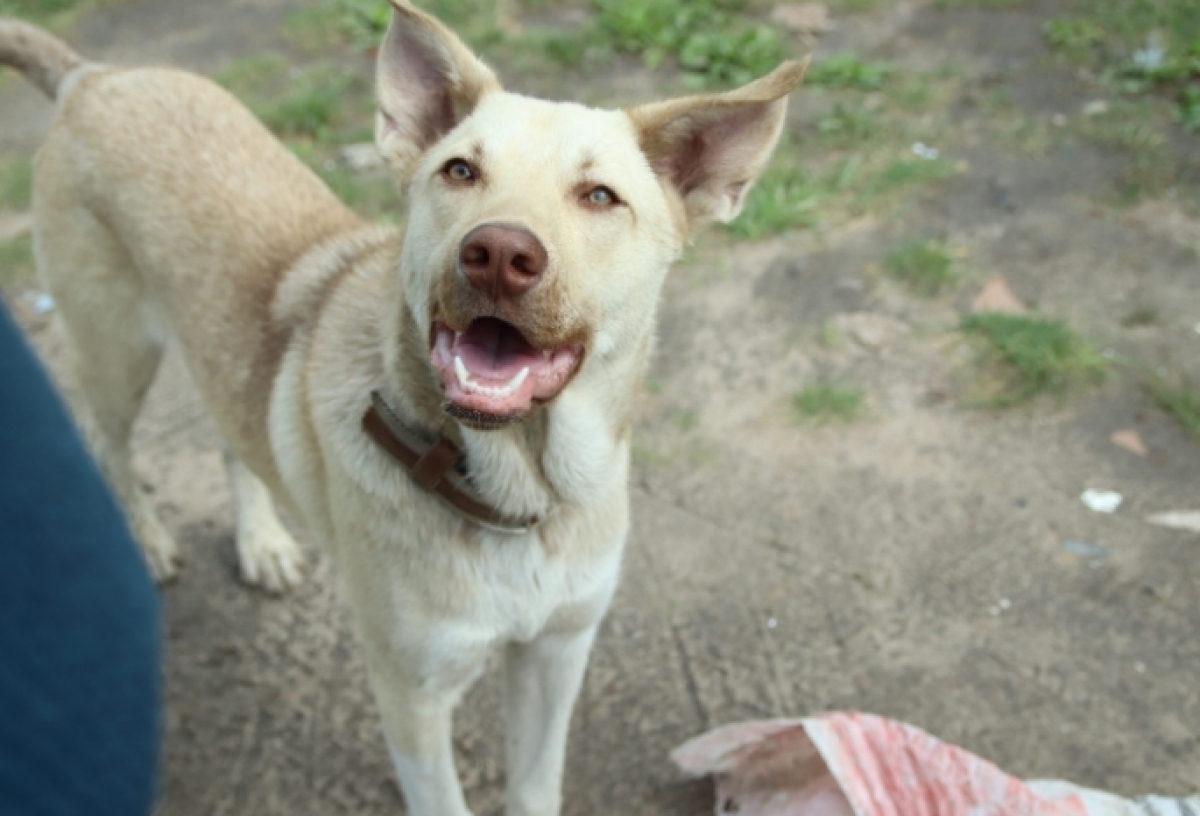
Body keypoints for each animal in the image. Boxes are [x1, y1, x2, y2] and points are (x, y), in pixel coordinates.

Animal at [0, 7, 806, 816]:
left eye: (600, 197)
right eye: (461, 171)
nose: (498, 253)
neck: (515, 495)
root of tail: (94, 75)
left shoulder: (557, 653)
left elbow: (536, 785)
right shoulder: (412, 693)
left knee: (231, 435)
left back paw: (261, 541)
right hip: (115, 353)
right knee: (107, 442)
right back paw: (147, 540)